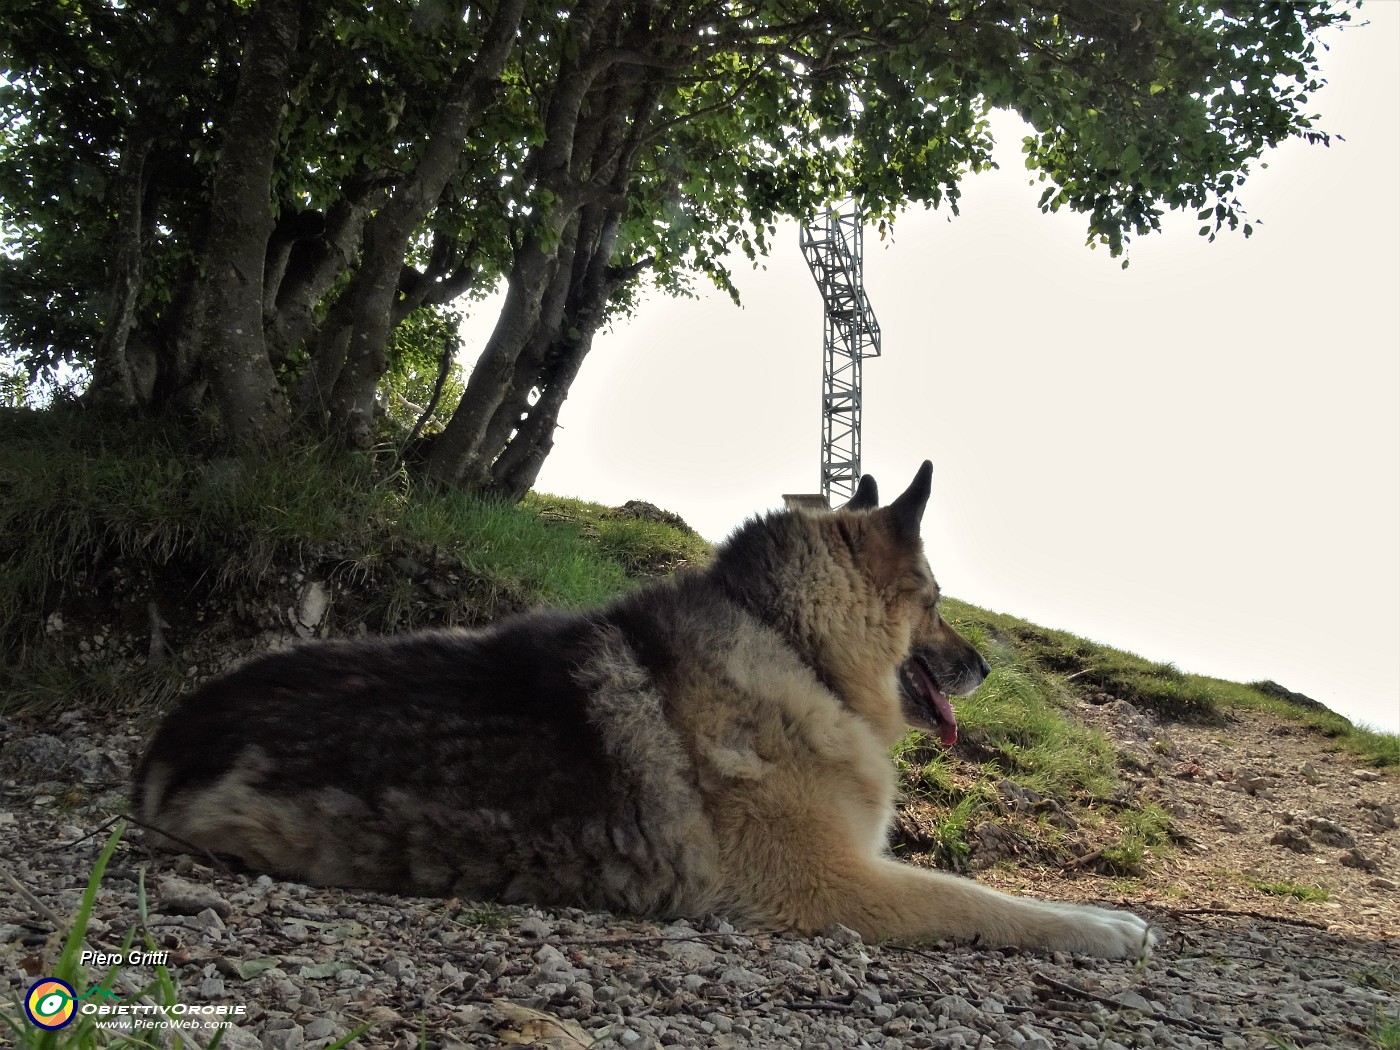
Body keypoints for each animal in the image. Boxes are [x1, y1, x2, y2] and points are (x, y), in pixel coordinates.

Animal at [136, 464, 1153, 957]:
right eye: (936, 601)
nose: (979, 664)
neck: (791, 642)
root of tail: (170, 740)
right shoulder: (837, 887)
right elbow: (983, 900)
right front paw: (1100, 927)